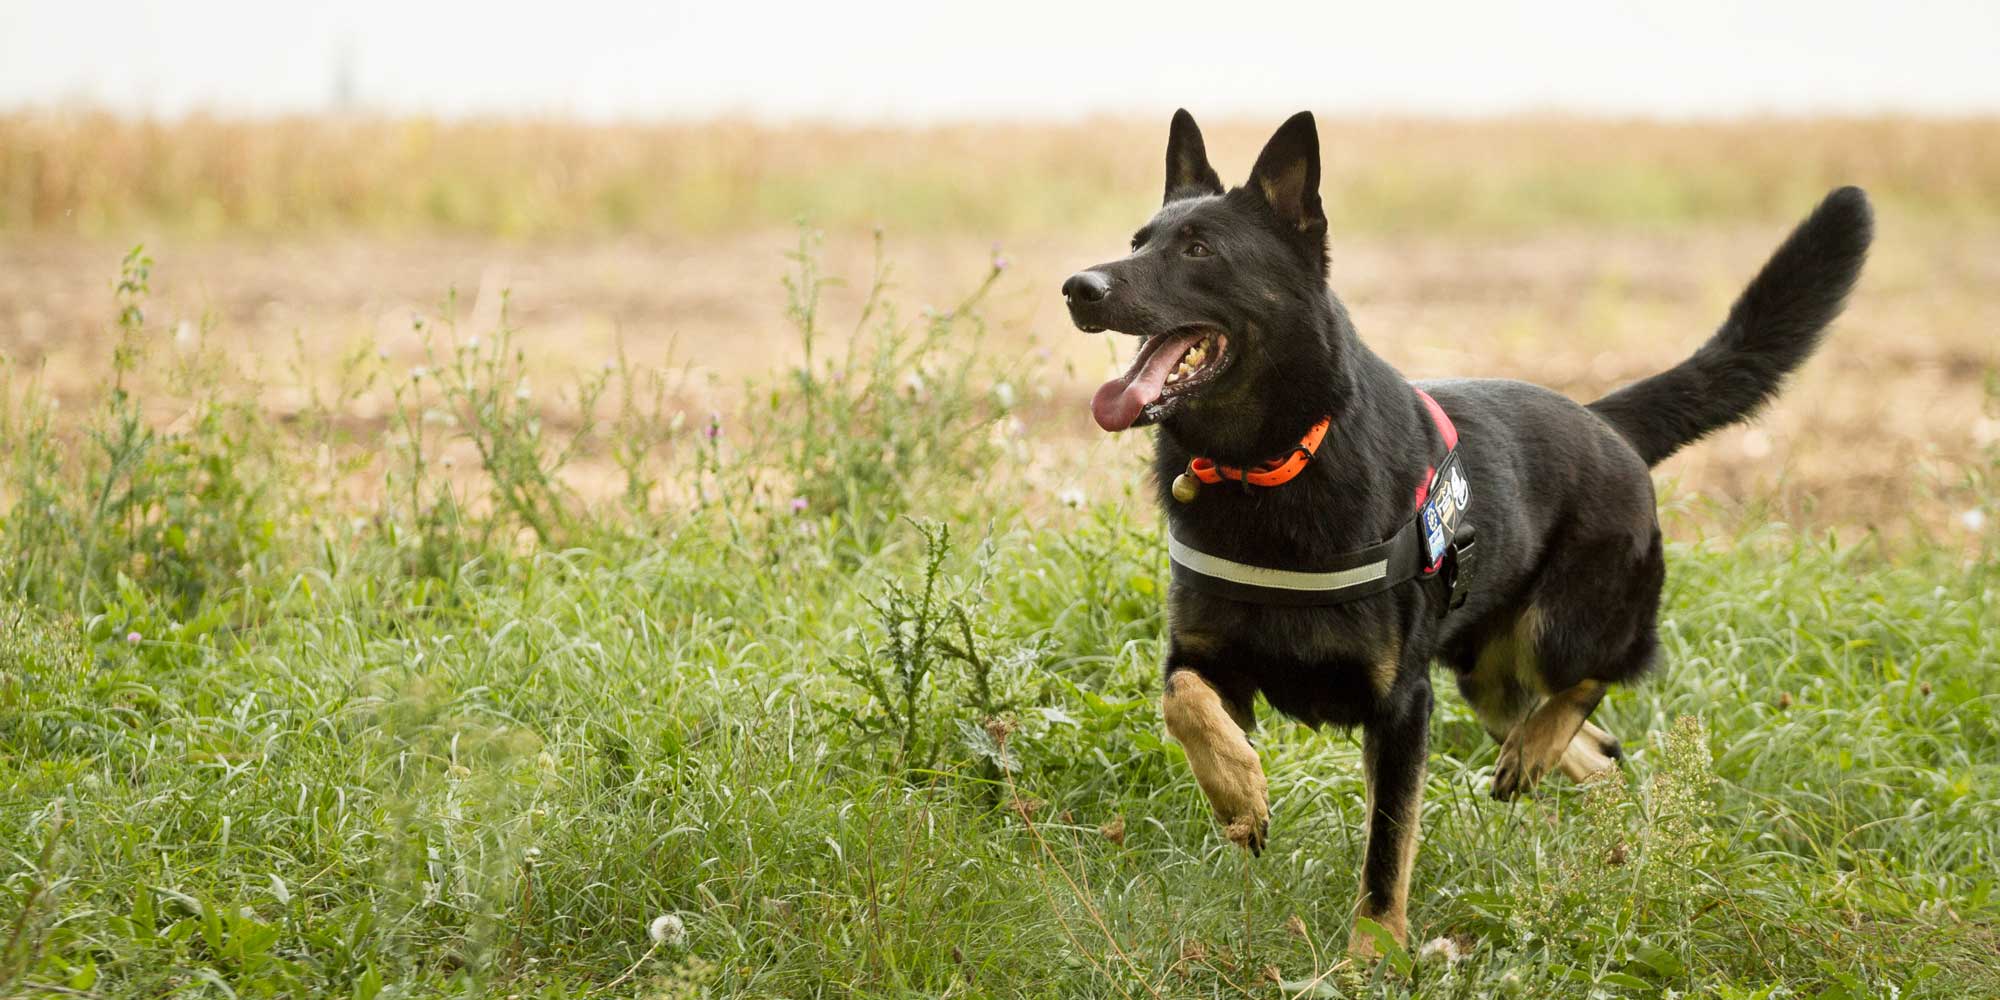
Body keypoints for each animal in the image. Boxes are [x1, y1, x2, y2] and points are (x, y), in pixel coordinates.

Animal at [1064, 111, 1872, 960]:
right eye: (1138, 240)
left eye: (1199, 250)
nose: (1079, 288)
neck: (1272, 464)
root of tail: (1606, 423)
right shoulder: (1205, 659)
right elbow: (1185, 704)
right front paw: (1240, 796)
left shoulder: (1403, 707)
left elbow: (1388, 845)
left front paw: (1374, 954)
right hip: (1486, 677)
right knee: (1599, 753)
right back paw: (1582, 802)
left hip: (1559, 633)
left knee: (1598, 676)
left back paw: (1546, 755)